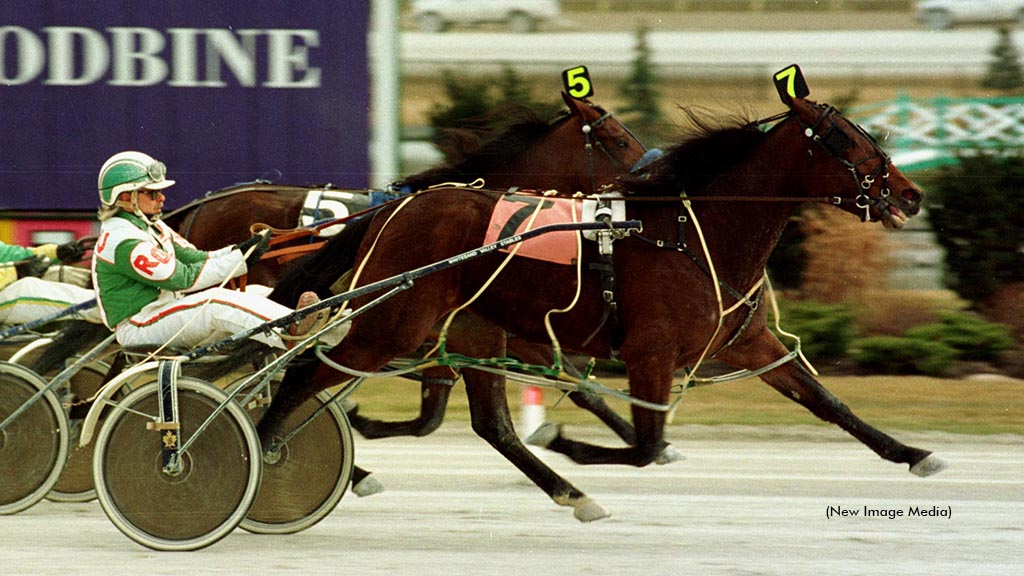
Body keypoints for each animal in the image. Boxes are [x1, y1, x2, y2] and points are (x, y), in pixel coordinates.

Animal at [262, 95, 942, 520]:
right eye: (845, 139)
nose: (910, 194)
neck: (695, 234)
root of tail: (399, 207)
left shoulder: (746, 341)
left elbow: (826, 401)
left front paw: (914, 454)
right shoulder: (649, 351)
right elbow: (644, 442)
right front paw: (569, 440)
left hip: (472, 328)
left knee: (493, 426)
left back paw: (572, 494)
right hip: (393, 323)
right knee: (304, 373)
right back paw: (267, 450)